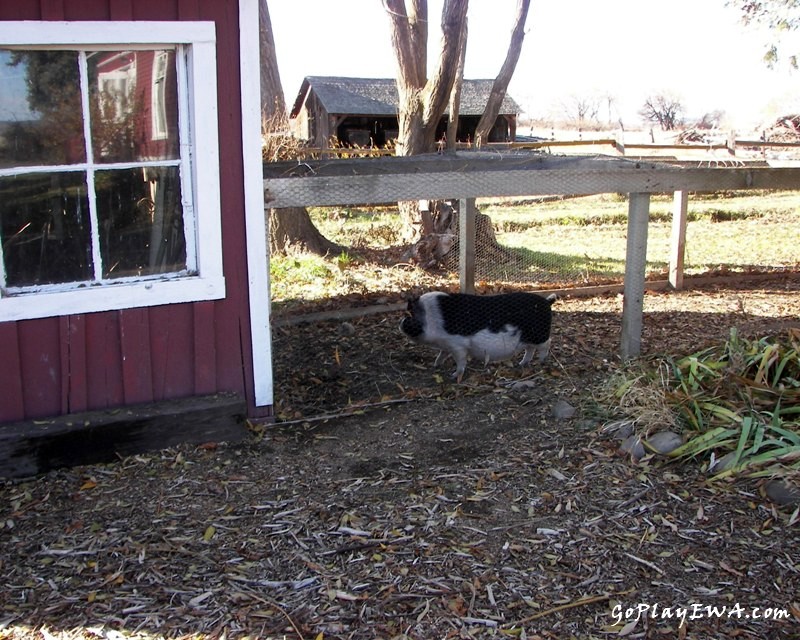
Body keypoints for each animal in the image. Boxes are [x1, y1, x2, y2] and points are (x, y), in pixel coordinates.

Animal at [400, 292, 556, 382]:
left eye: (410, 316)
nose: (400, 323)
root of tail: (547, 302)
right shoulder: (446, 346)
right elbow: (442, 353)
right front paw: (436, 364)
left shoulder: (458, 345)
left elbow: (461, 361)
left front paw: (454, 376)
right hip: (528, 339)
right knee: (530, 349)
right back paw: (521, 364)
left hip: (539, 335)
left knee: (547, 343)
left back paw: (541, 361)